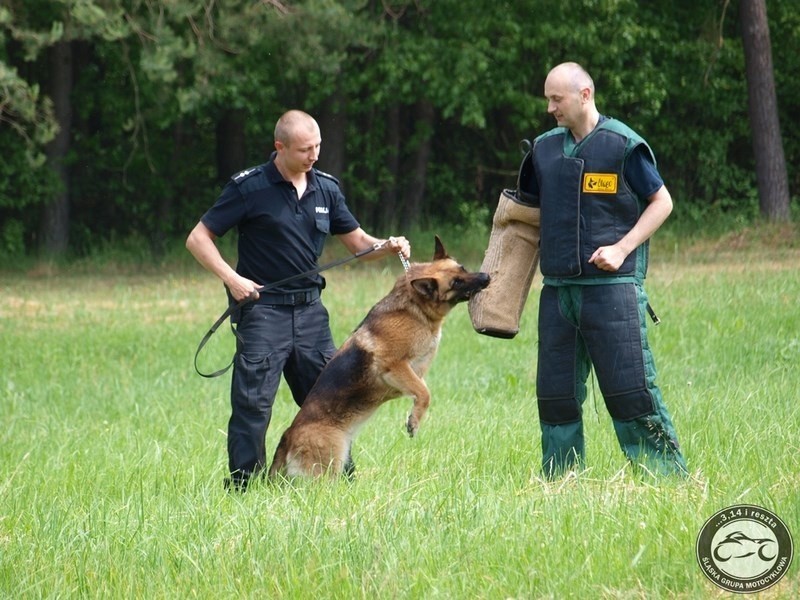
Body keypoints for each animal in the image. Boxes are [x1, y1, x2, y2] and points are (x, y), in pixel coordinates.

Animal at [268, 236, 490, 478]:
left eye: (463, 269)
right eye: (456, 283)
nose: (486, 277)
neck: (414, 307)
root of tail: (288, 436)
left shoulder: (417, 370)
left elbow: (422, 389)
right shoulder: (394, 367)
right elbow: (425, 393)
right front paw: (413, 422)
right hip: (330, 465)